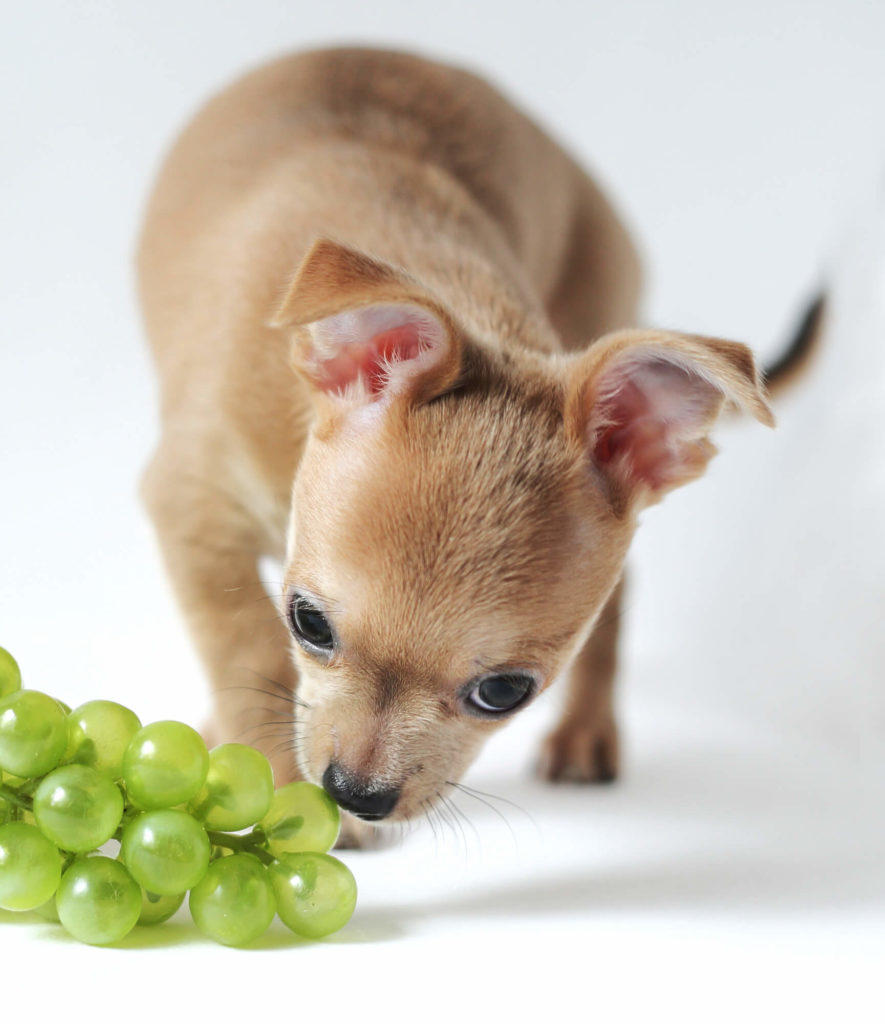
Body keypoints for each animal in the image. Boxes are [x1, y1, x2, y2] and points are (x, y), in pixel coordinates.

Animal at [138, 48, 782, 843]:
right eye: (309, 624)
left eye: (503, 691)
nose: (355, 792)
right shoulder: (193, 508)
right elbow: (246, 647)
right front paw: (281, 784)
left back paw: (585, 734)